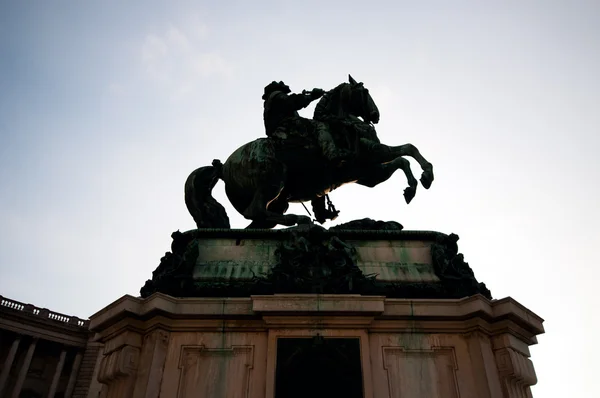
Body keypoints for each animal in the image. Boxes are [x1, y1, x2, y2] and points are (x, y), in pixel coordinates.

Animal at [185, 75, 434, 230]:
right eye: (365, 91)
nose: (375, 115)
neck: (343, 123)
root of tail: (223, 167)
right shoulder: (371, 157)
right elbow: (408, 149)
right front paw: (426, 176)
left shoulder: (368, 174)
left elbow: (402, 160)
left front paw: (412, 188)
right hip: (273, 180)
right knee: (255, 211)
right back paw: (299, 218)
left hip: (276, 200)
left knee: (256, 223)